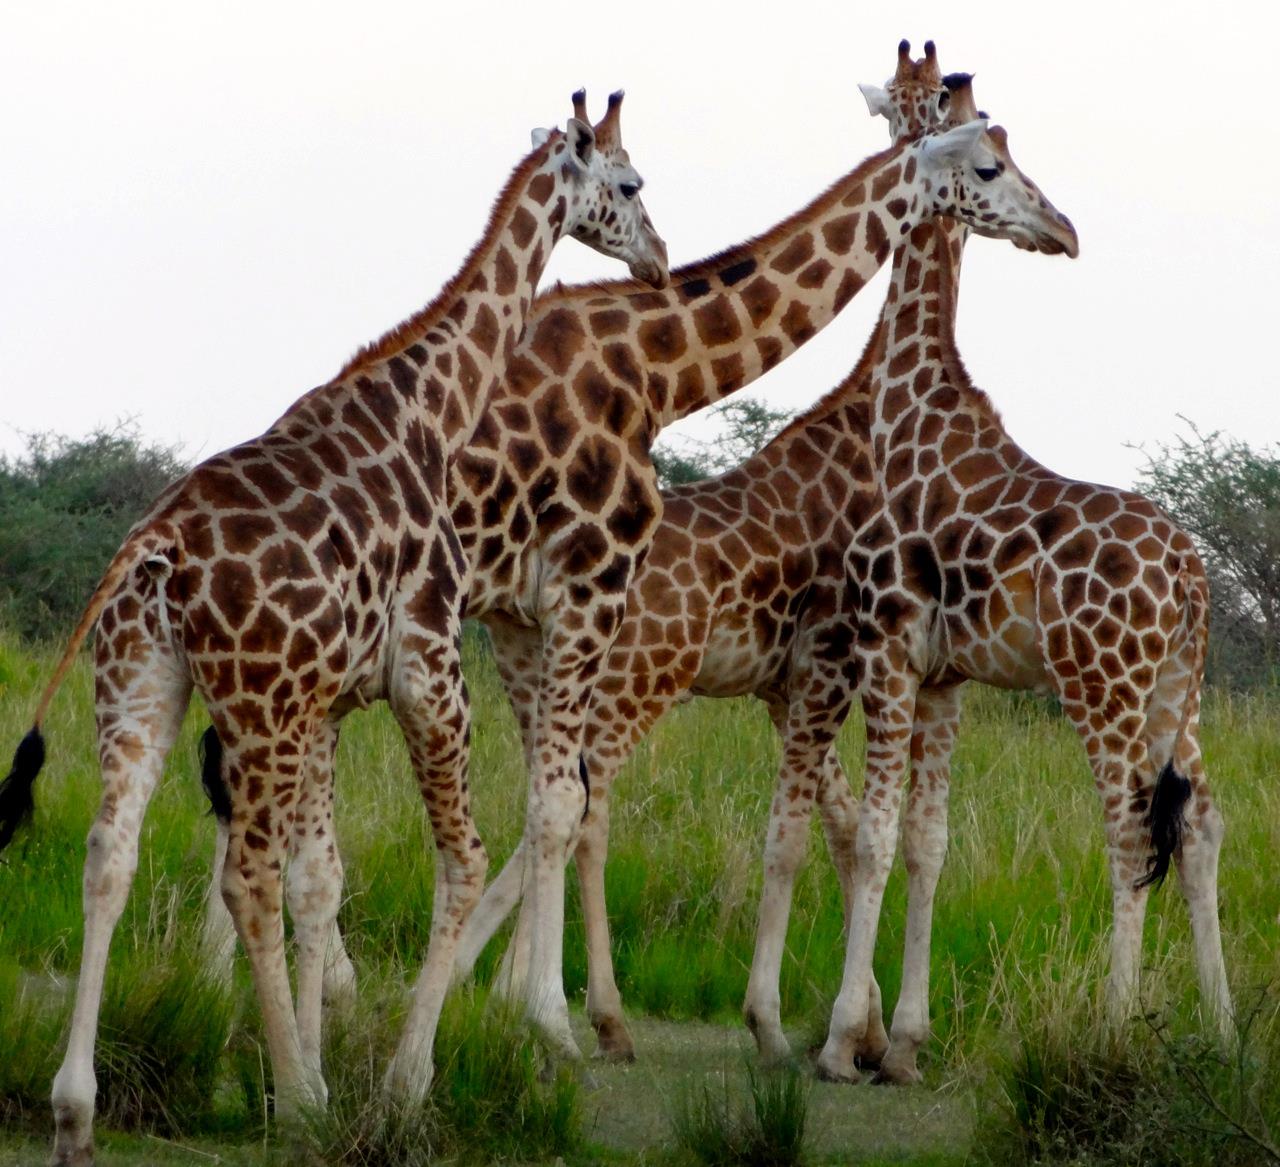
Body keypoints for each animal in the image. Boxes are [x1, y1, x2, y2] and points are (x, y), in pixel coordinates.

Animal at [2, 93, 670, 1167]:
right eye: (632, 182)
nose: (658, 257)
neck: (435, 408)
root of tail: (154, 549)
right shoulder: (427, 666)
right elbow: (455, 860)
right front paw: (389, 1086)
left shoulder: (325, 701)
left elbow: (323, 879)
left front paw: (308, 1075)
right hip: (254, 705)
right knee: (247, 875)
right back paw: (305, 1104)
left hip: (143, 683)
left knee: (111, 850)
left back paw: (76, 1110)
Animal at [455, 43, 1075, 1064]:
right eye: (991, 160)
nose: (1061, 228)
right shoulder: (830, 654)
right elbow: (818, 833)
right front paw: (820, 1028)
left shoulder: (784, 677)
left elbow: (838, 827)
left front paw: (861, 1024)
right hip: (618, 666)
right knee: (569, 803)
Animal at [814, 97, 1233, 1085]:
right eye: (994, 167)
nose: (1064, 230)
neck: (909, 422)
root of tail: (1192, 575)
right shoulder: (944, 675)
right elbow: (928, 841)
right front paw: (904, 1043)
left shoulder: (889, 650)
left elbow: (877, 837)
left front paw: (843, 1040)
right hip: (1177, 689)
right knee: (1201, 826)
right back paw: (1226, 1034)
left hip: (1101, 683)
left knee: (1130, 832)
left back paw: (1115, 1028)